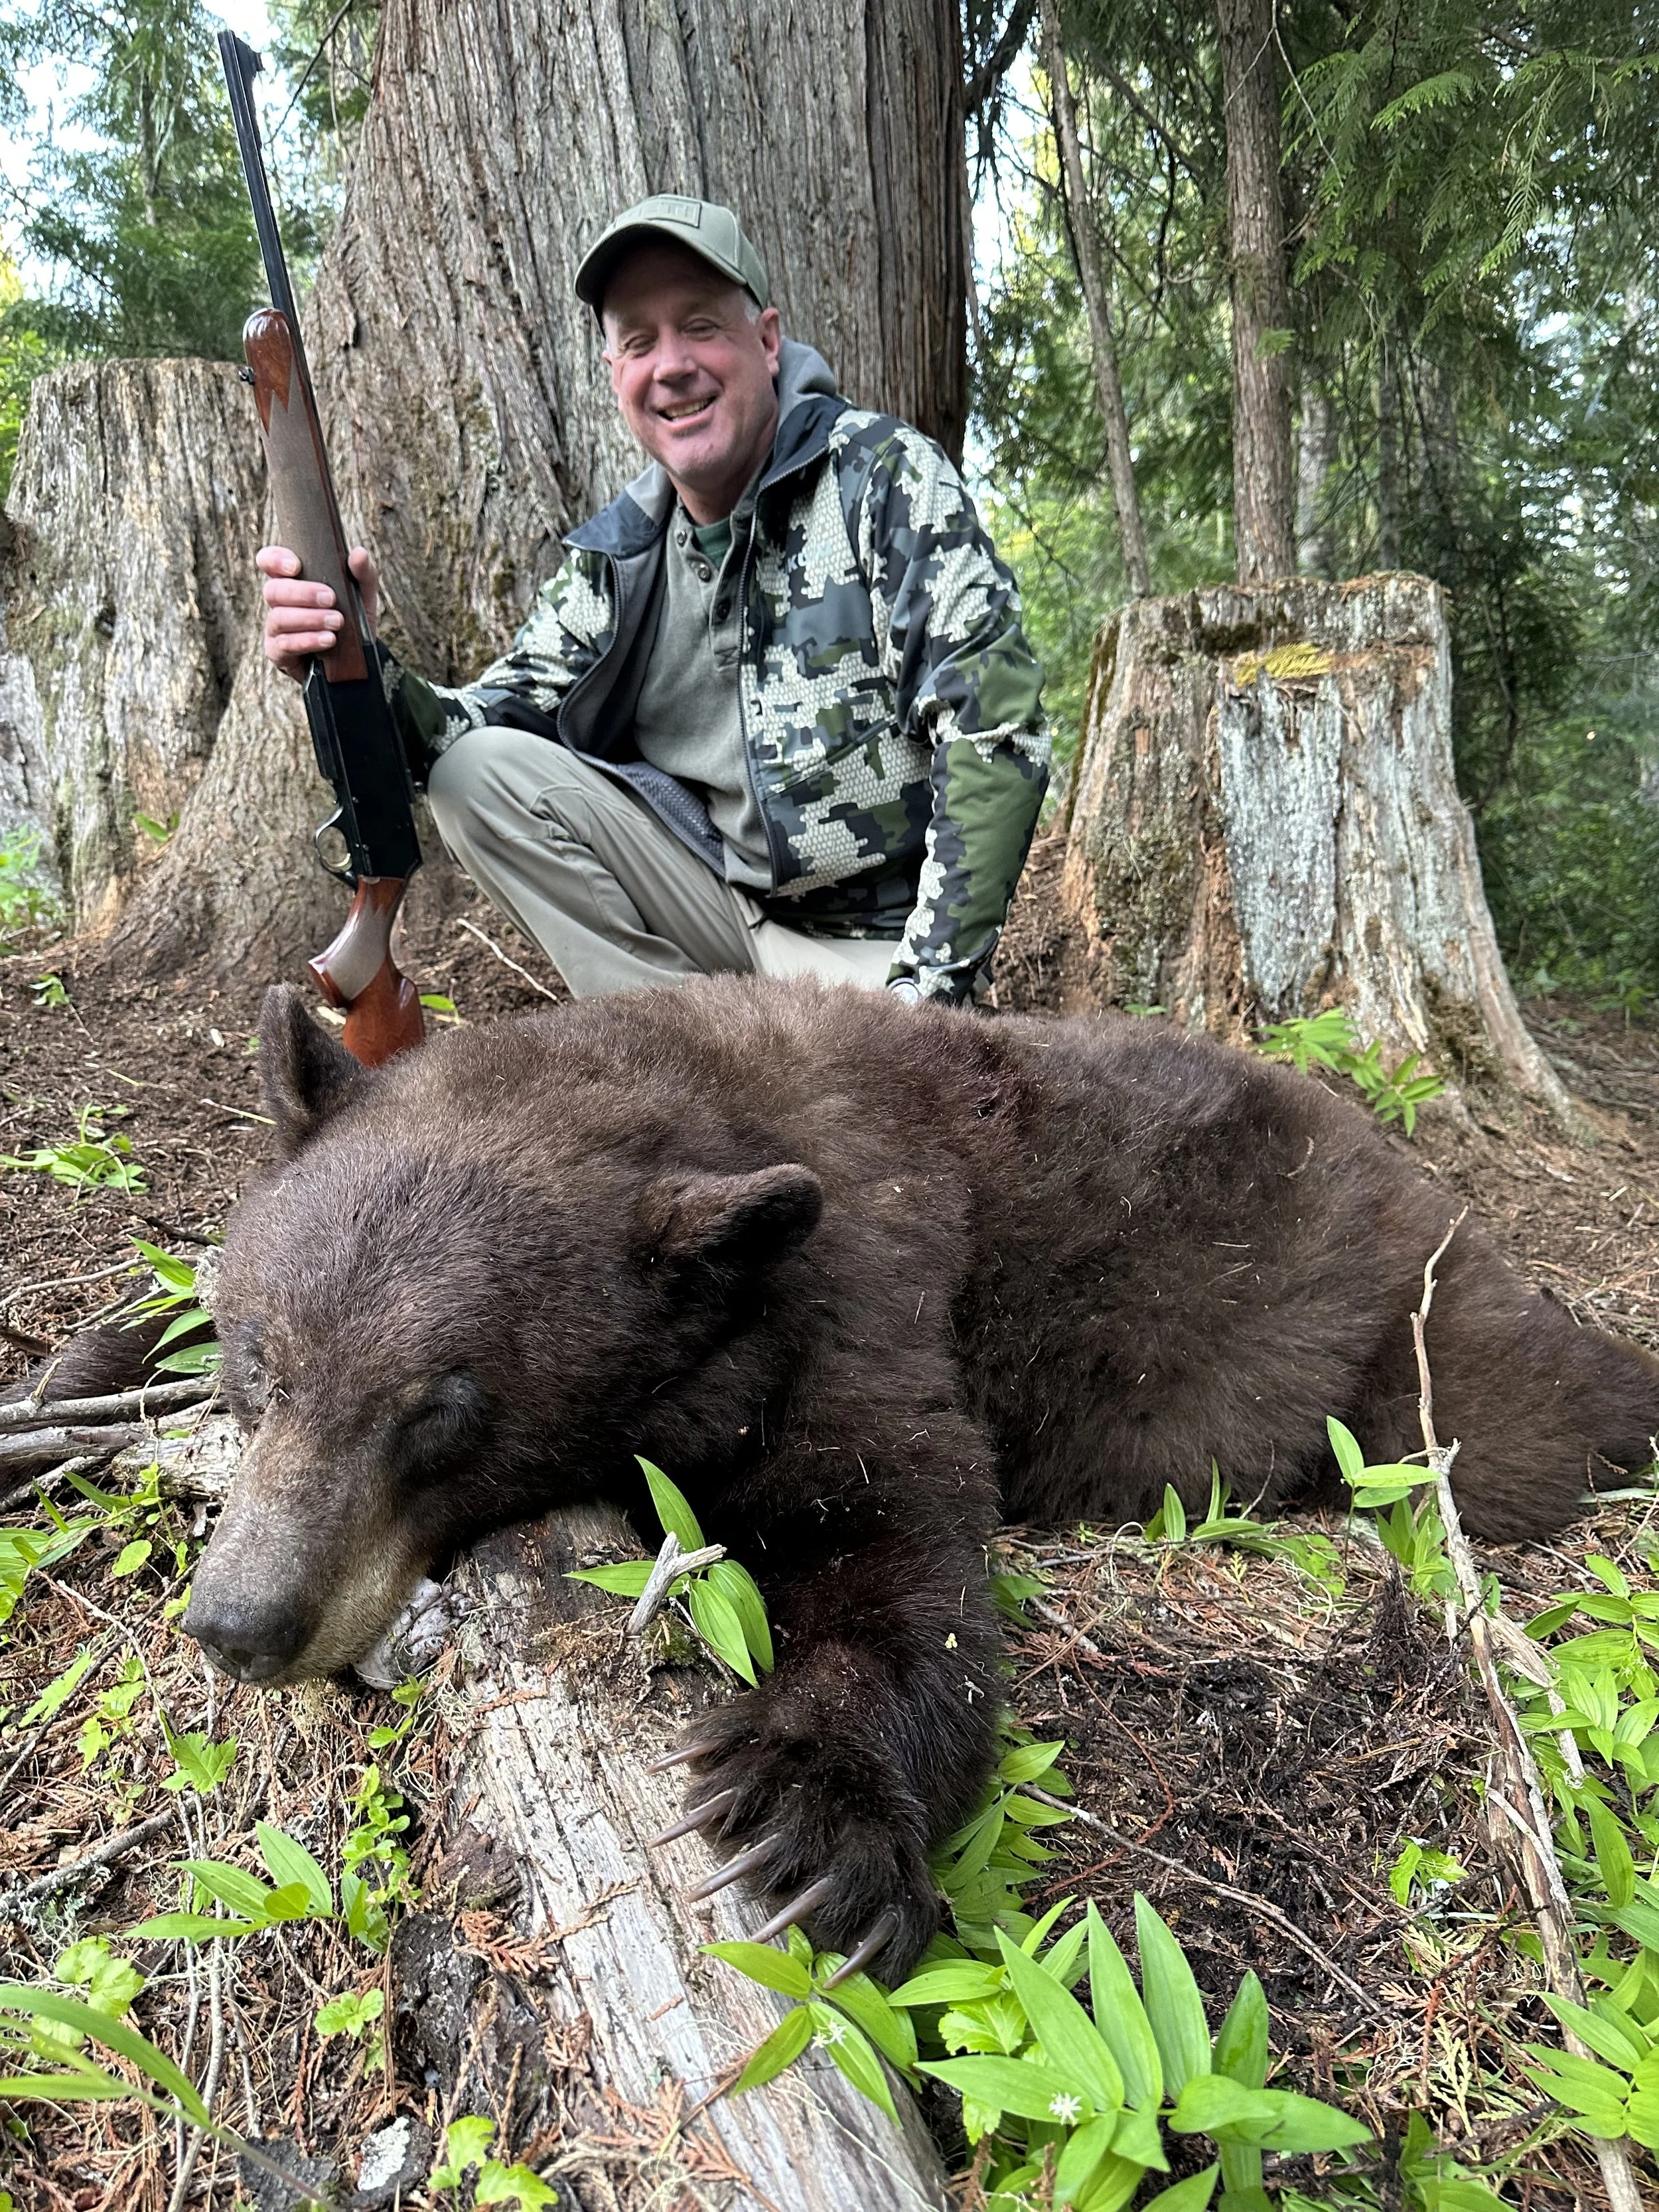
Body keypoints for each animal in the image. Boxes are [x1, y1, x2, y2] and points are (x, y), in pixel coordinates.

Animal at [174, 973, 1657, 1983]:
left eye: (441, 1413)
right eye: (261, 1357)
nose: (242, 1623)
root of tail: (1434, 1185)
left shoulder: (865, 1301)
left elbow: (901, 1546)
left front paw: (808, 1818)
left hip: (1406, 1339)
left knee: (1523, 1413)